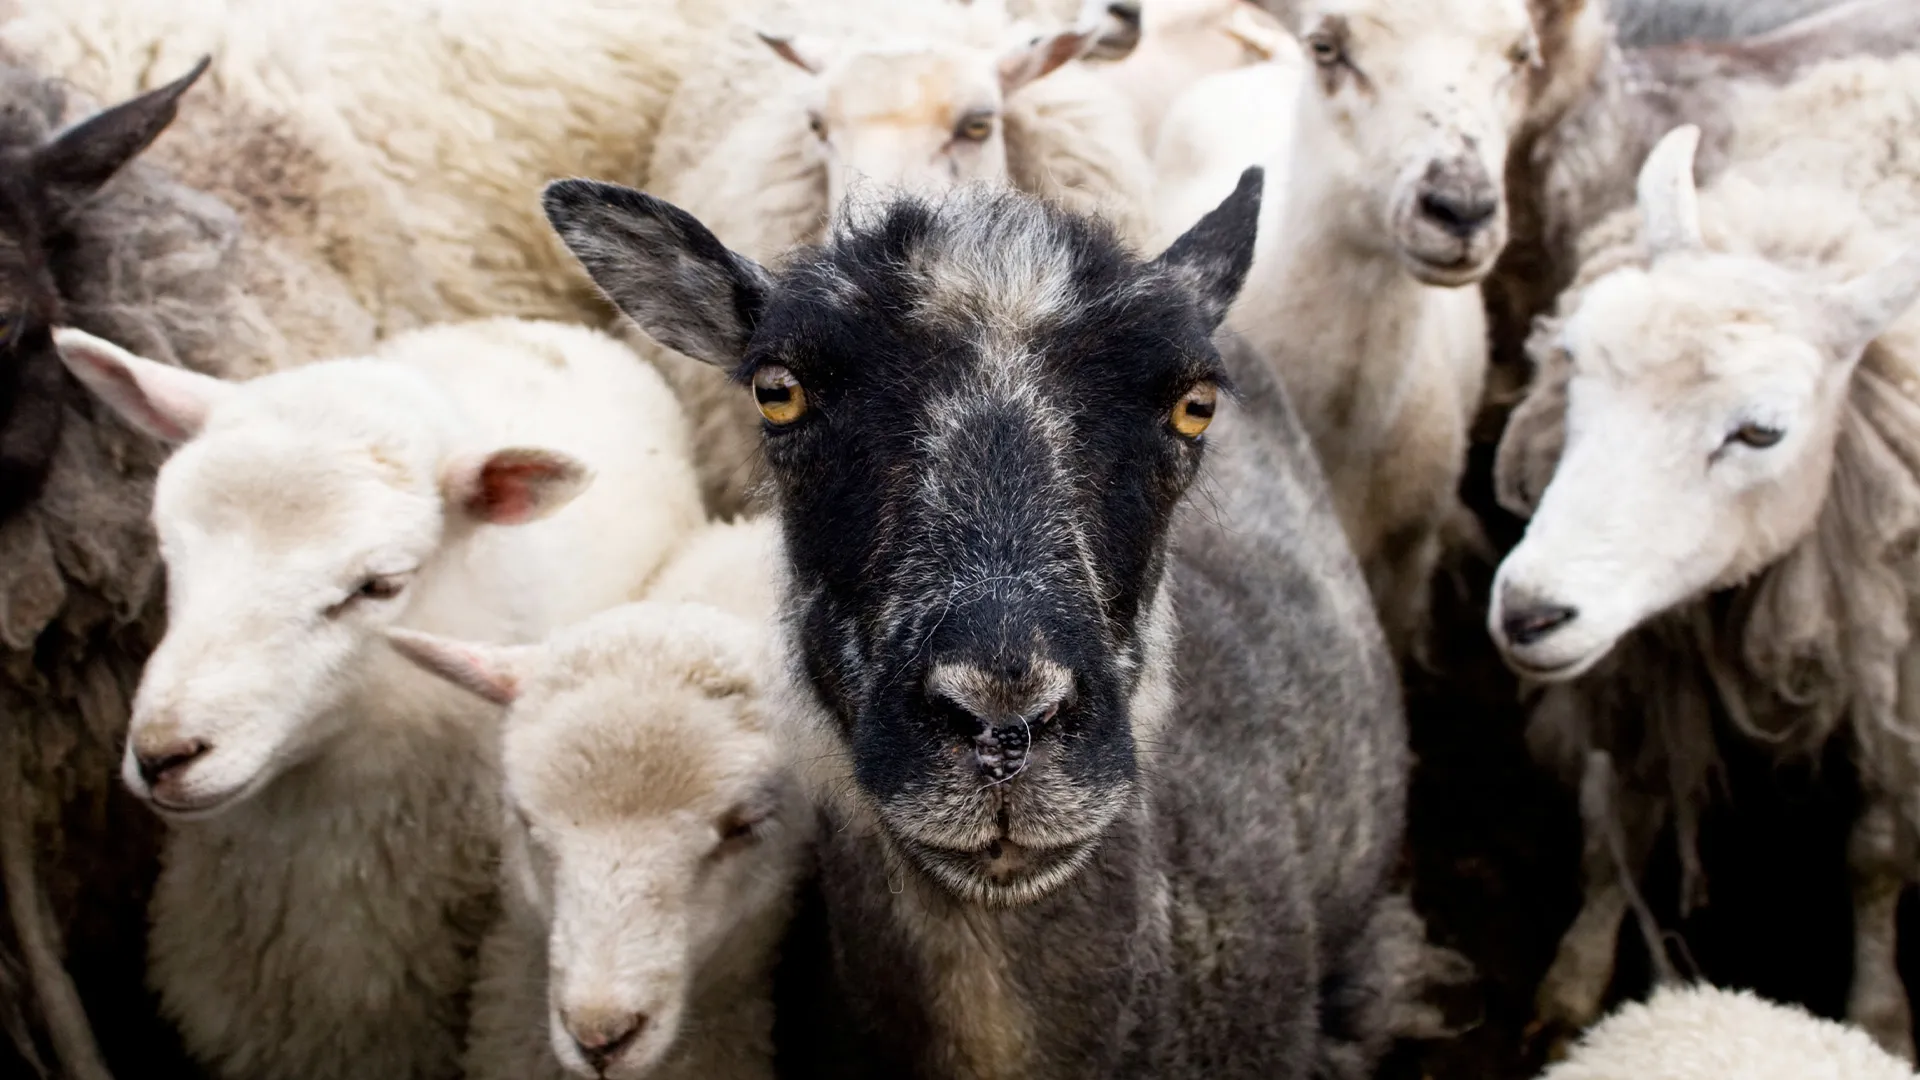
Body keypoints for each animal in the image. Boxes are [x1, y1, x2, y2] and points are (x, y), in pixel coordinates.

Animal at [1488, 119, 1920, 1059]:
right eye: (1572, 365)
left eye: (1761, 432)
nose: (1529, 613)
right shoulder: (1644, 667)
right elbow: (1625, 818)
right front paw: (1577, 979)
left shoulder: (1894, 672)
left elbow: (1875, 854)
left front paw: (1879, 1011)